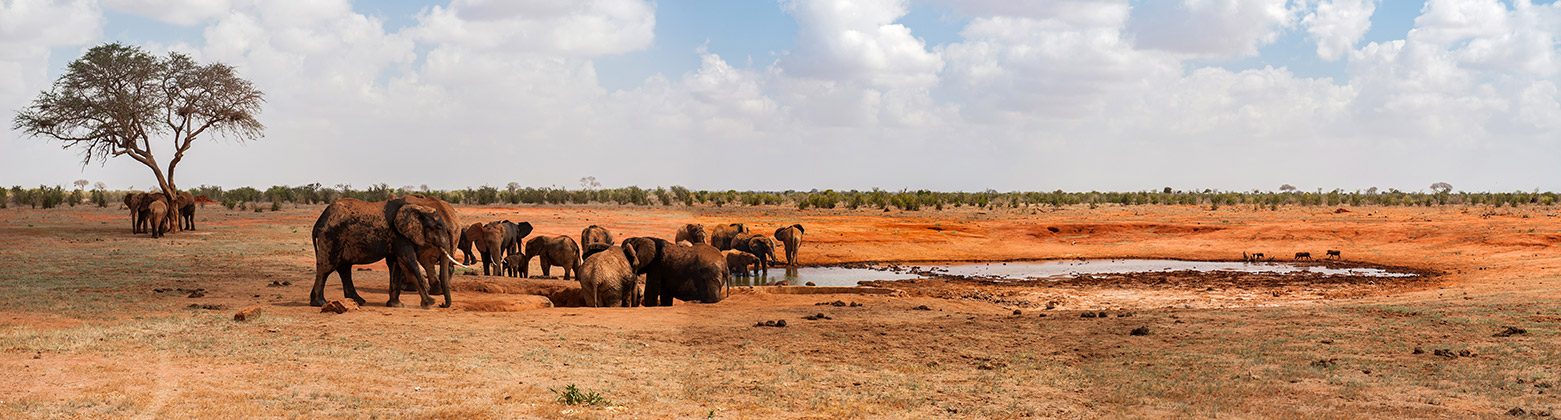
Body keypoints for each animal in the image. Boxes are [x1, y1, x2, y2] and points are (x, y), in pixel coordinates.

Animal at [307, 195, 458, 307]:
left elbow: (396, 265)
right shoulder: (398, 235)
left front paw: (396, 305)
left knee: (344, 269)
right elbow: (408, 263)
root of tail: (318, 222)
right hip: (332, 236)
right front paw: (430, 304)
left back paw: (359, 301)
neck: (418, 208)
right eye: (438, 227)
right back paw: (320, 303)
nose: (443, 304)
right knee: (326, 267)